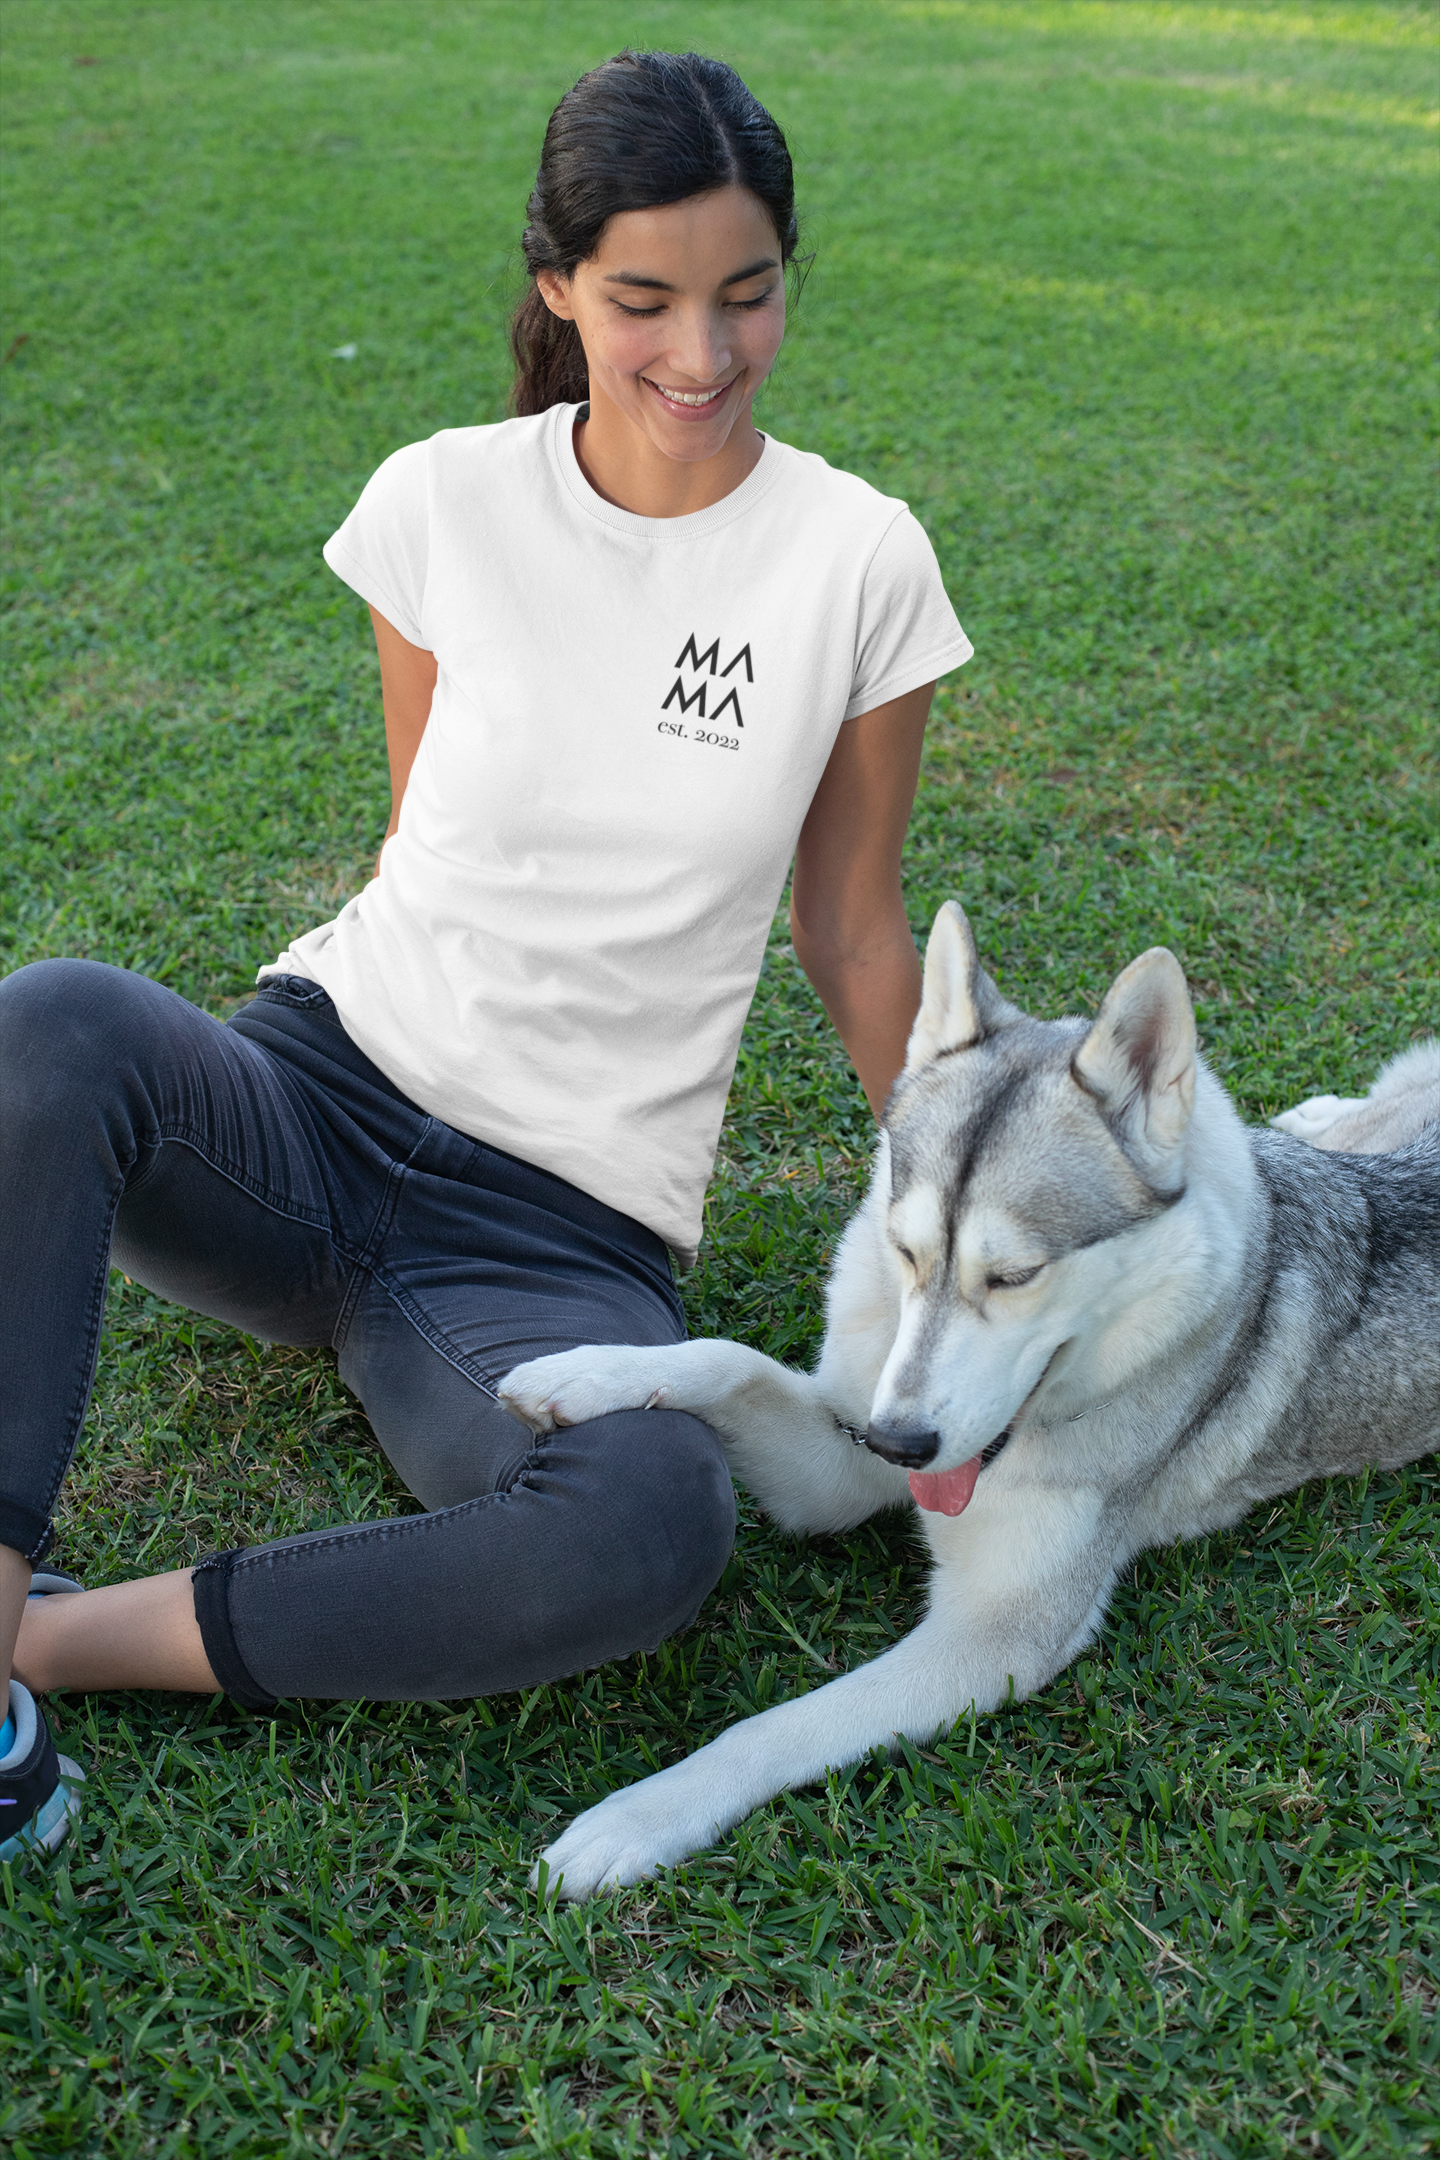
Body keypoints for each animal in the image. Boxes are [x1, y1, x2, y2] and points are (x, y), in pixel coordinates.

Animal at [501, 903, 1440, 1899]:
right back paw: (1316, 1116)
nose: (899, 1444)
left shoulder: (995, 1638)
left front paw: (643, 1815)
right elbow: (730, 1361)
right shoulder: (838, 1463)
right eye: (906, 1252)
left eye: (1016, 1276)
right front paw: (587, 1374)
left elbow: (779, 1725)